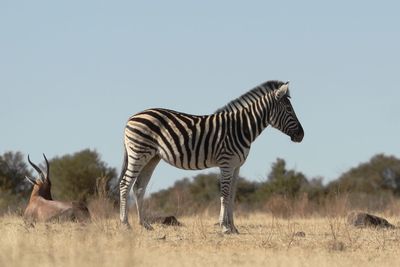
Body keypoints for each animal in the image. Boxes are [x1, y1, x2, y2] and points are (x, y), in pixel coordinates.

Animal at [118, 80, 304, 234]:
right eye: (289, 109)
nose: (301, 135)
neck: (241, 127)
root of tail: (132, 117)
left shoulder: (237, 166)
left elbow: (232, 195)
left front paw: (233, 227)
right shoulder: (226, 163)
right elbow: (224, 194)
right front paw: (224, 227)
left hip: (151, 158)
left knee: (139, 188)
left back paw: (145, 225)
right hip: (138, 153)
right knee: (125, 184)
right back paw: (125, 224)